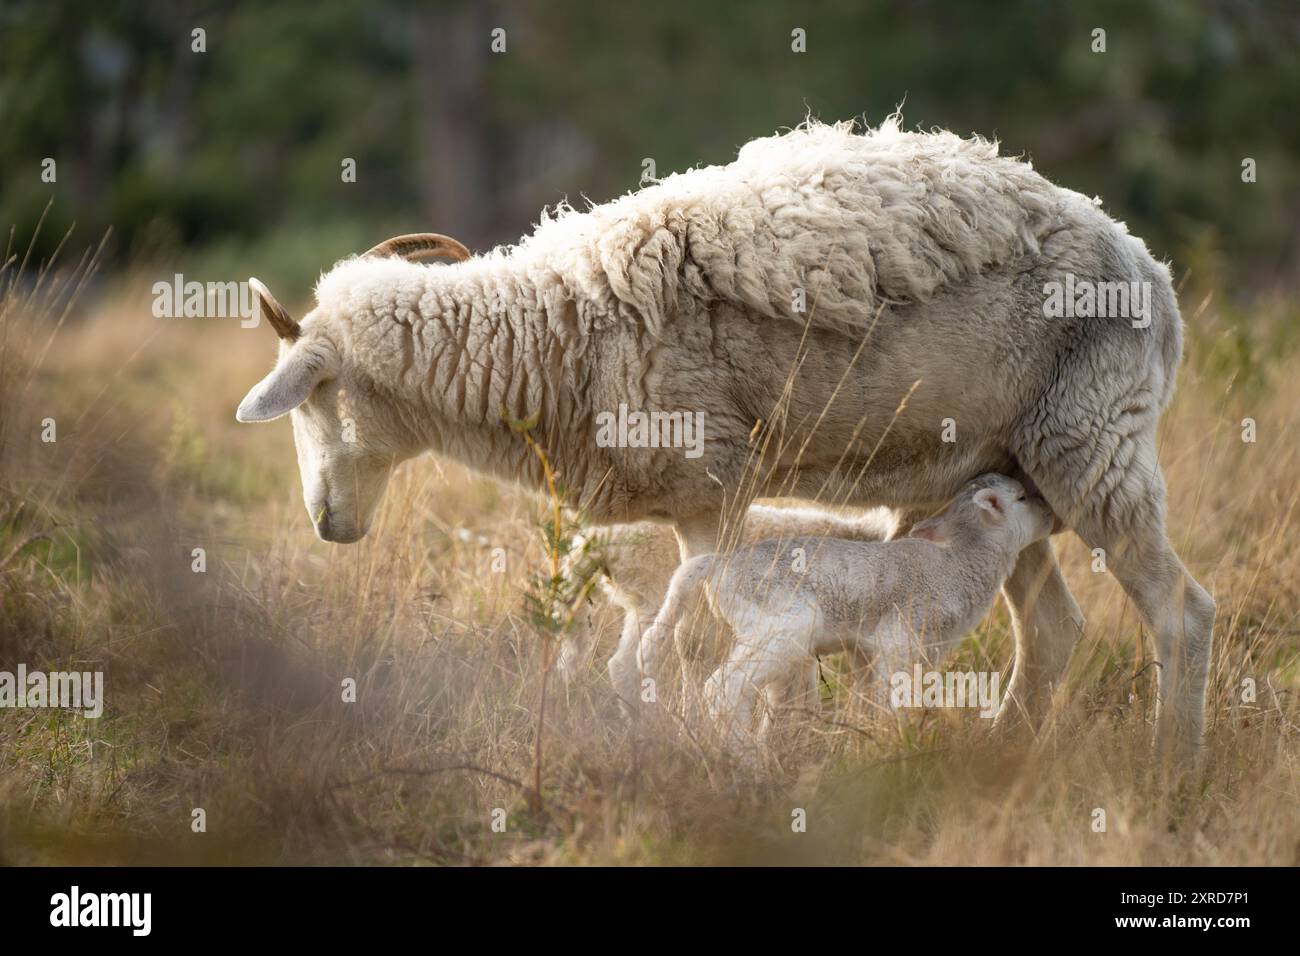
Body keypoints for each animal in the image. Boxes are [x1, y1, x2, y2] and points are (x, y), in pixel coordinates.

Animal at [236, 119, 1216, 764]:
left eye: (313, 402)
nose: (326, 526)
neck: (557, 336)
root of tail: (1153, 273)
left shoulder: (715, 489)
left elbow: (690, 644)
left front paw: (730, 746)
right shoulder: (691, 508)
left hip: (1095, 443)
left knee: (1181, 612)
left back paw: (1171, 767)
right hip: (1003, 471)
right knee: (1053, 630)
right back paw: (1006, 752)